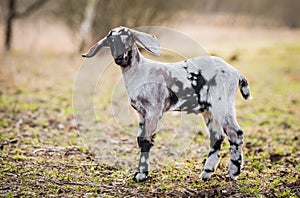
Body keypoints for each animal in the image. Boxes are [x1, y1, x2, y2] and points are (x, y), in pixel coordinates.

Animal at [81, 26, 251, 183]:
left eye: (128, 38)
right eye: (110, 41)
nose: (120, 58)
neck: (140, 72)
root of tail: (236, 73)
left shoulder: (153, 111)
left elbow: (146, 141)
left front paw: (142, 175)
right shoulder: (141, 114)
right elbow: (139, 140)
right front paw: (138, 173)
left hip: (220, 105)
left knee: (230, 134)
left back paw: (227, 173)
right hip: (212, 110)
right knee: (223, 135)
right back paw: (213, 173)